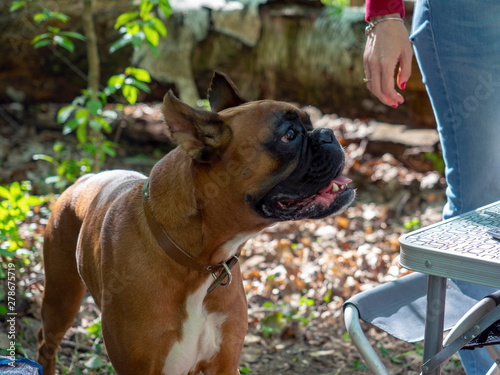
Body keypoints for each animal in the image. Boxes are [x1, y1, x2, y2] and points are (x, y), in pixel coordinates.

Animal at [36, 72, 356, 374]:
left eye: (310, 123)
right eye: (289, 135)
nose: (328, 134)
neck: (199, 262)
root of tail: (84, 179)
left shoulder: (224, 363)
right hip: (61, 298)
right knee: (45, 341)